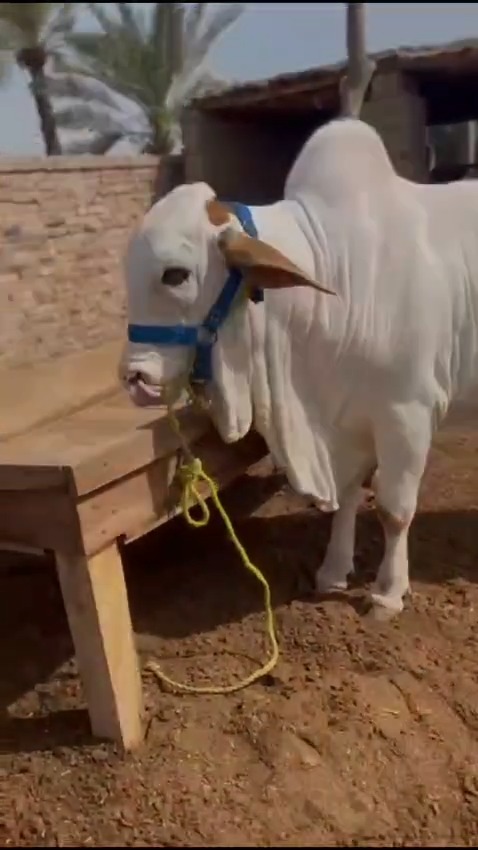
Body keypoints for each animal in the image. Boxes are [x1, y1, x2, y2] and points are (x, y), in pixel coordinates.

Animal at [120, 117, 478, 619]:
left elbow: (393, 507)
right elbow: (347, 494)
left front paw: (388, 592)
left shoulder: (407, 414)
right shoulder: (345, 422)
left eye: (176, 274)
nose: (136, 378)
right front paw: (332, 572)